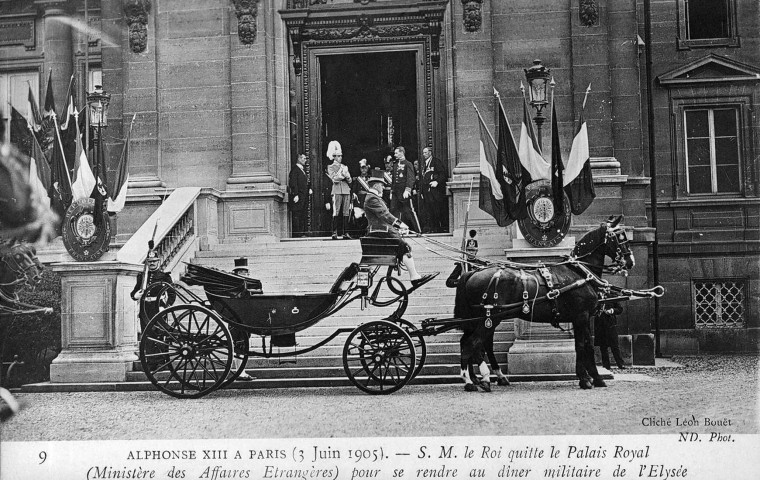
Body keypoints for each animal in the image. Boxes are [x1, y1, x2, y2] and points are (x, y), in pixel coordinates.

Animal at [458, 216, 636, 392]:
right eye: (618, 236)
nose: (630, 261)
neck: (579, 273)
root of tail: (473, 273)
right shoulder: (581, 316)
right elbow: (583, 346)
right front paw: (588, 379)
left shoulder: (579, 319)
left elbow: (584, 346)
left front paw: (591, 378)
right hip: (489, 319)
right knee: (471, 344)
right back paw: (474, 380)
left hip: (483, 320)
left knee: (473, 343)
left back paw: (484, 378)